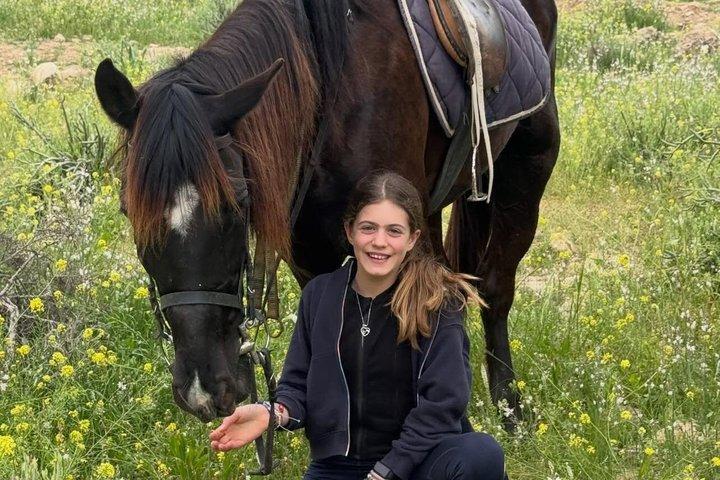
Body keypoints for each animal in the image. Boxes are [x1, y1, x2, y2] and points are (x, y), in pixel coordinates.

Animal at [94, 0, 560, 428]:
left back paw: (510, 410)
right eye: (128, 211)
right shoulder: (310, 256)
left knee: (495, 289)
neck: (332, 93)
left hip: (526, 172)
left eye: (237, 204)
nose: (203, 389)